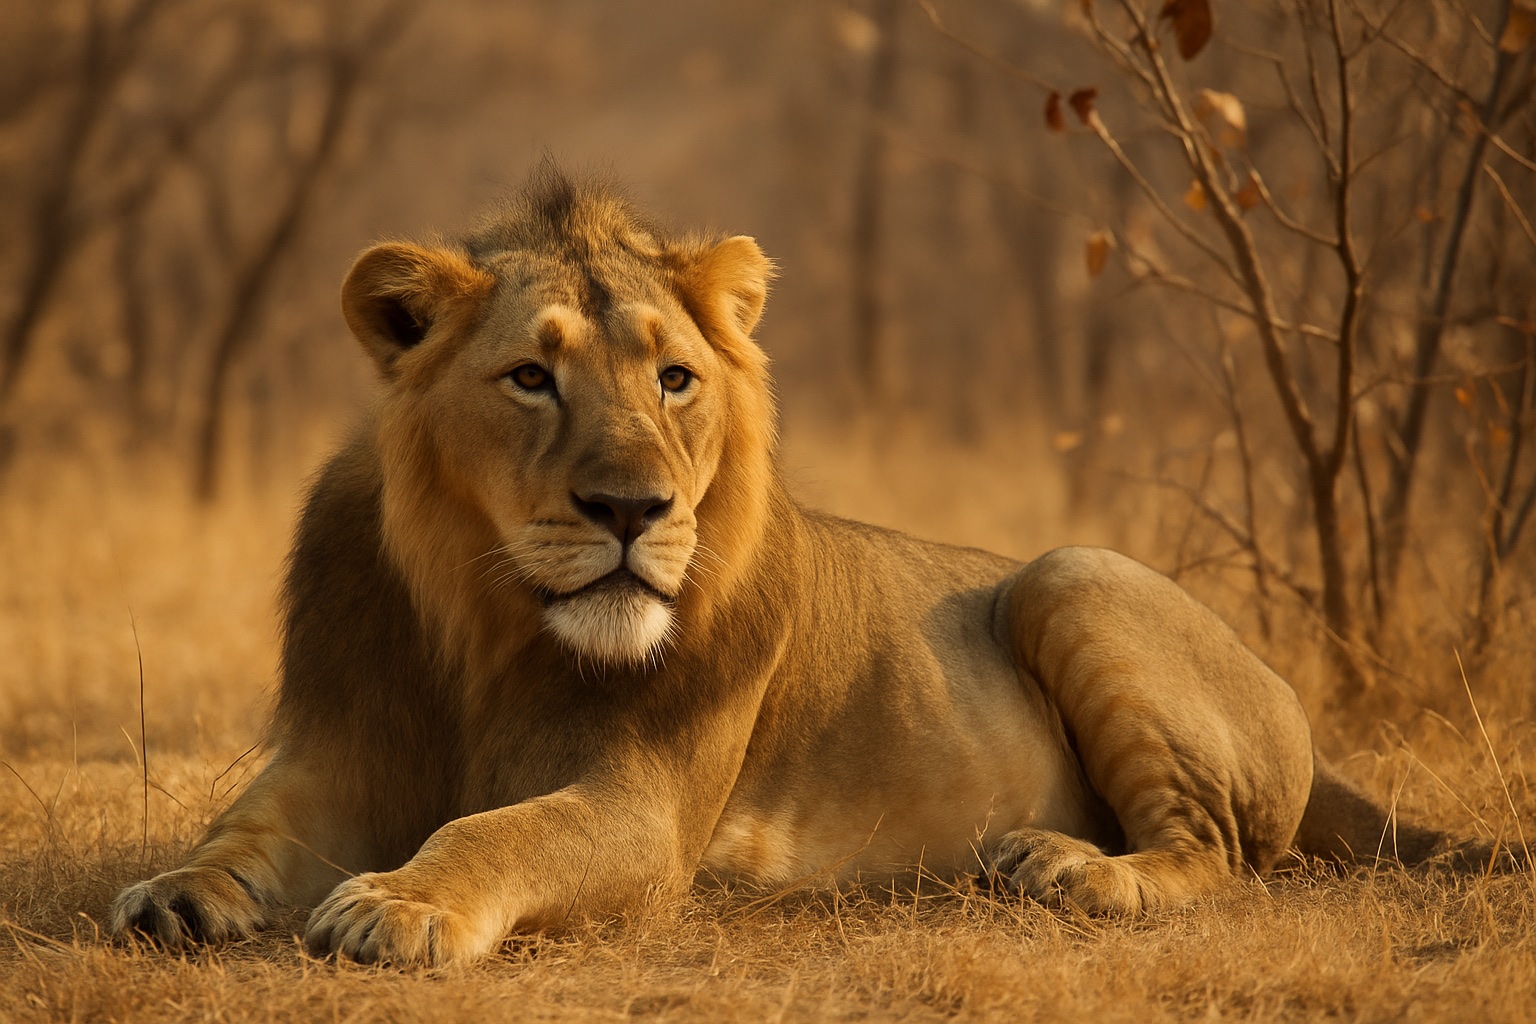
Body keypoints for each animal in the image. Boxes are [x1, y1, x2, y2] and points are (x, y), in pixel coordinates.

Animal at [111, 167, 1519, 966]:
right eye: (529, 377)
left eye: (675, 378)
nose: (633, 508)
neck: (489, 619)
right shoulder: (338, 753)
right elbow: (240, 830)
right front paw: (177, 894)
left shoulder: (643, 810)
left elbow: (494, 828)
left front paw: (396, 905)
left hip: (1068, 571)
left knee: (1217, 853)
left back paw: (1069, 868)